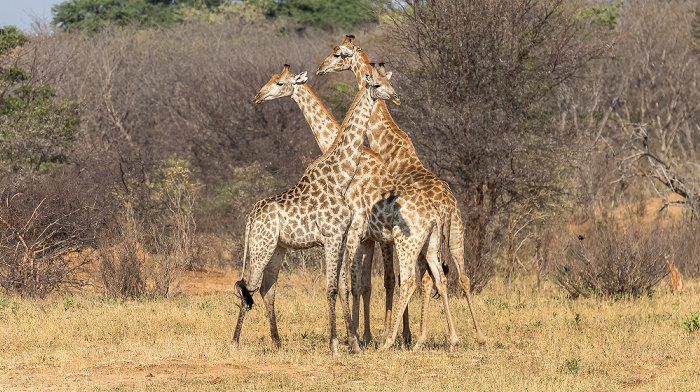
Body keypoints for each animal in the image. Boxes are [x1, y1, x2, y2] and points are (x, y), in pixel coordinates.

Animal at [318, 34, 486, 346]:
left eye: (337, 54)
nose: (320, 69)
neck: (392, 148)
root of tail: (446, 203)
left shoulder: (385, 234)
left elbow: (388, 280)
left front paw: (389, 335)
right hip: (456, 235)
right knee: (459, 276)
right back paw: (474, 336)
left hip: (420, 239)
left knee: (421, 279)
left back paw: (414, 337)